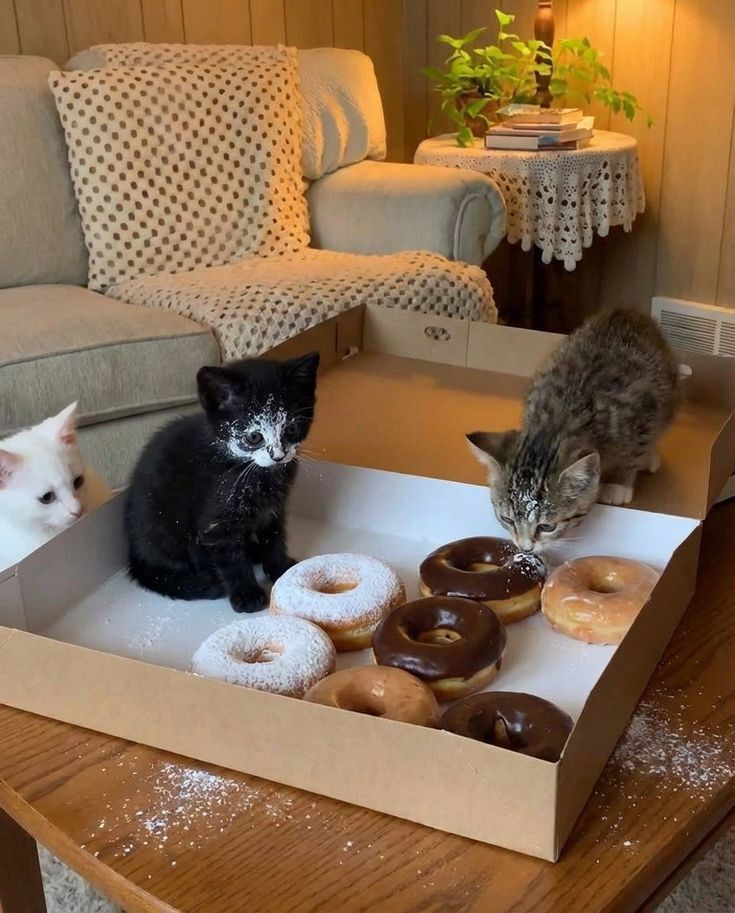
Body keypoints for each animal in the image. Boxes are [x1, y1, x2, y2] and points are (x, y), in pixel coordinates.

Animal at [125, 352, 320, 613]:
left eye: (291, 428)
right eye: (254, 436)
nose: (278, 456)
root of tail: (134, 551)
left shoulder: (274, 508)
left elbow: (275, 536)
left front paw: (279, 568)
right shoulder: (215, 523)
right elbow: (231, 559)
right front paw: (247, 595)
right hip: (164, 529)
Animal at [467, 309, 679, 553]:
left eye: (547, 526)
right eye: (507, 519)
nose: (525, 548)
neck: (561, 418)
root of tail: (627, 311)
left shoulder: (642, 410)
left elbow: (633, 453)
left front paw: (619, 484)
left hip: (668, 397)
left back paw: (650, 458)